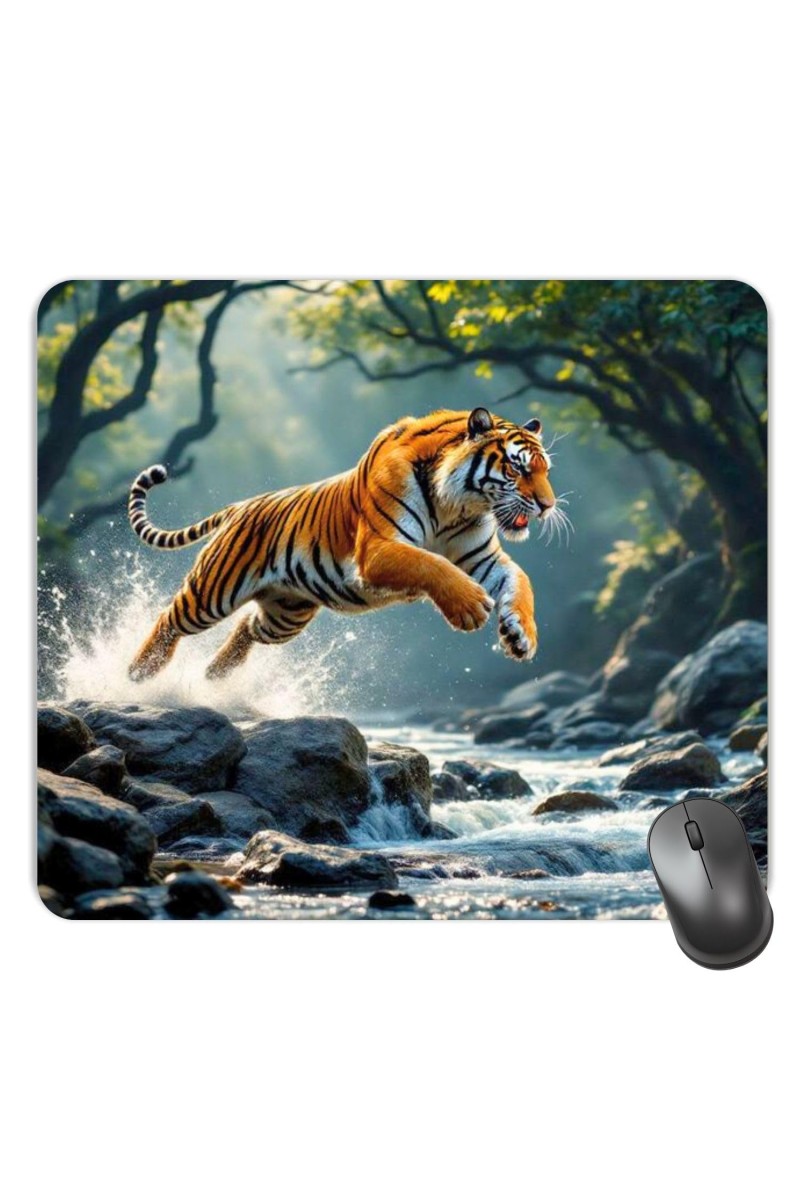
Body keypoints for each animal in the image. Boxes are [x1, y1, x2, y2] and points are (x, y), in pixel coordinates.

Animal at [127, 406, 561, 682]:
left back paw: (215, 674)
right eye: (518, 468)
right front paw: (470, 608)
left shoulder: (482, 556)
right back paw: (140, 671)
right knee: (170, 618)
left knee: (247, 627)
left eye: (545, 471)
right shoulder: (378, 549)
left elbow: (521, 582)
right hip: (214, 591)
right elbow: (430, 563)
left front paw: (521, 636)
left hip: (286, 614)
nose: (548, 505)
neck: (457, 504)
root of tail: (240, 505)